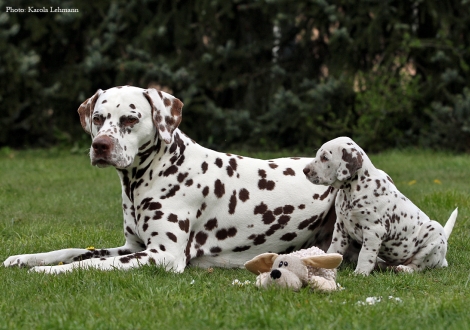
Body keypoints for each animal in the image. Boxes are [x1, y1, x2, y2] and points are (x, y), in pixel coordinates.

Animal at [5, 85, 340, 274]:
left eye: (130, 118)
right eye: (98, 118)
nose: (100, 145)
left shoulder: (161, 255)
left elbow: (88, 263)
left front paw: (47, 273)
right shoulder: (130, 247)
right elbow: (73, 251)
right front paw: (27, 259)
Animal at [302, 137, 458, 276]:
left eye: (324, 157)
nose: (305, 170)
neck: (352, 191)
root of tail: (442, 260)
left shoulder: (373, 230)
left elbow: (365, 254)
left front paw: (360, 273)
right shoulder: (341, 227)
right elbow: (334, 249)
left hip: (434, 231)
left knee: (418, 266)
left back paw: (403, 269)